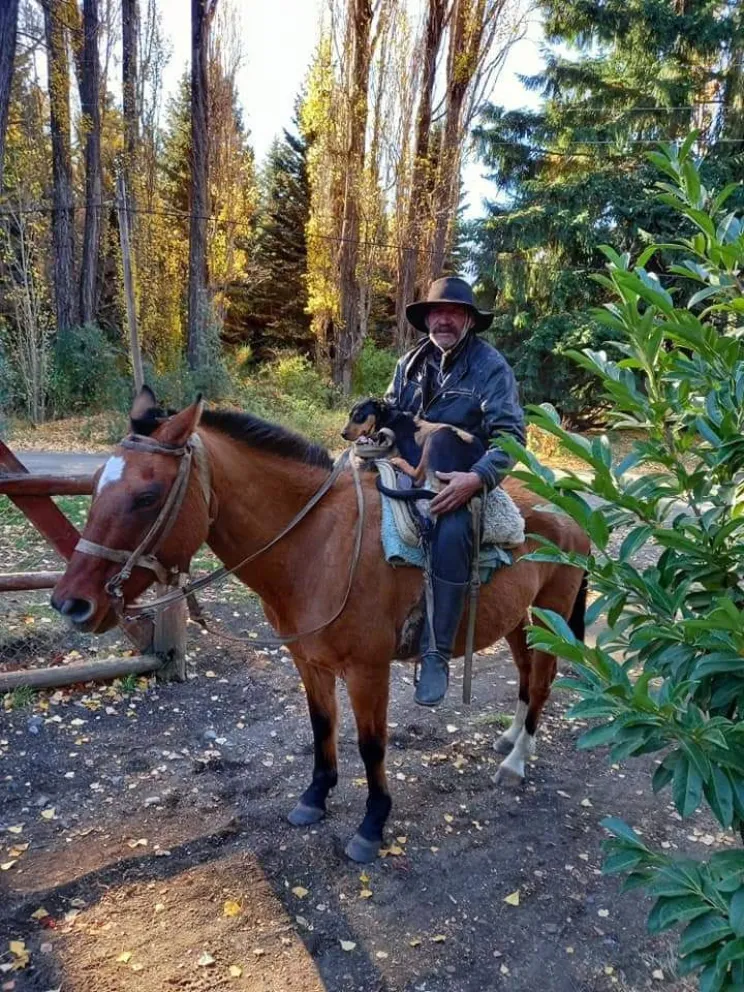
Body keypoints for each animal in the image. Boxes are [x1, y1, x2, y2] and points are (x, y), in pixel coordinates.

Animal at [51, 387, 590, 863]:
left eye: (147, 495)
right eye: (96, 483)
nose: (70, 603)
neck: (317, 544)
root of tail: (571, 505)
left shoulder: (368, 671)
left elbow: (371, 747)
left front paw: (372, 825)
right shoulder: (309, 661)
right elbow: (321, 725)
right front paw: (315, 797)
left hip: (553, 616)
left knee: (542, 682)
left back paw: (516, 762)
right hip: (521, 620)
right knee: (526, 678)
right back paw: (510, 740)